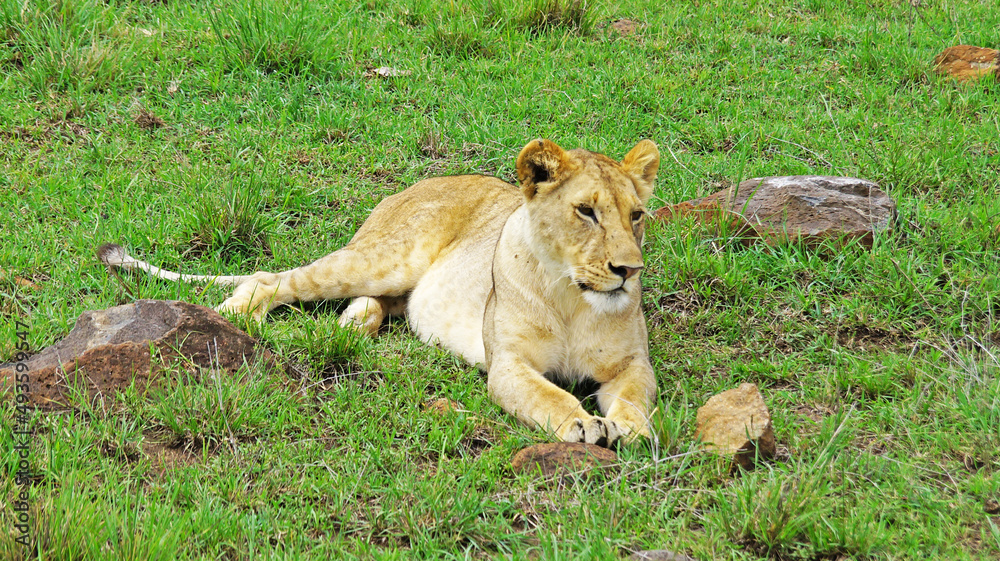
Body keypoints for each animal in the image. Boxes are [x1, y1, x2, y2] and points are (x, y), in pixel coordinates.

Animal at [99, 138, 660, 447]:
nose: (628, 269)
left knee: (379, 305)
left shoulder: (630, 363)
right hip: (385, 259)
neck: (573, 297)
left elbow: (636, 396)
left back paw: (349, 331)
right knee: (273, 280)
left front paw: (631, 429)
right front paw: (583, 424)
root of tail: (414, 185)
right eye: (586, 211)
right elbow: (549, 394)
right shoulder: (508, 364)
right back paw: (233, 320)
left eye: (636, 215)